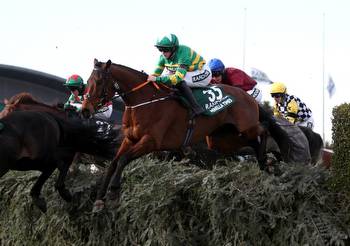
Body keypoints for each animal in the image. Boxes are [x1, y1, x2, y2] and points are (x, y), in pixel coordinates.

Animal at [82, 58, 270, 211]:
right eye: (88, 80)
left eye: (99, 81)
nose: (85, 110)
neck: (145, 101)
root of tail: (247, 96)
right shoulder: (129, 139)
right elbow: (113, 163)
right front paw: (99, 199)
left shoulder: (150, 142)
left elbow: (123, 159)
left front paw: (113, 192)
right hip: (221, 139)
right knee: (251, 143)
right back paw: (263, 164)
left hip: (246, 127)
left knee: (263, 130)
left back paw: (266, 161)